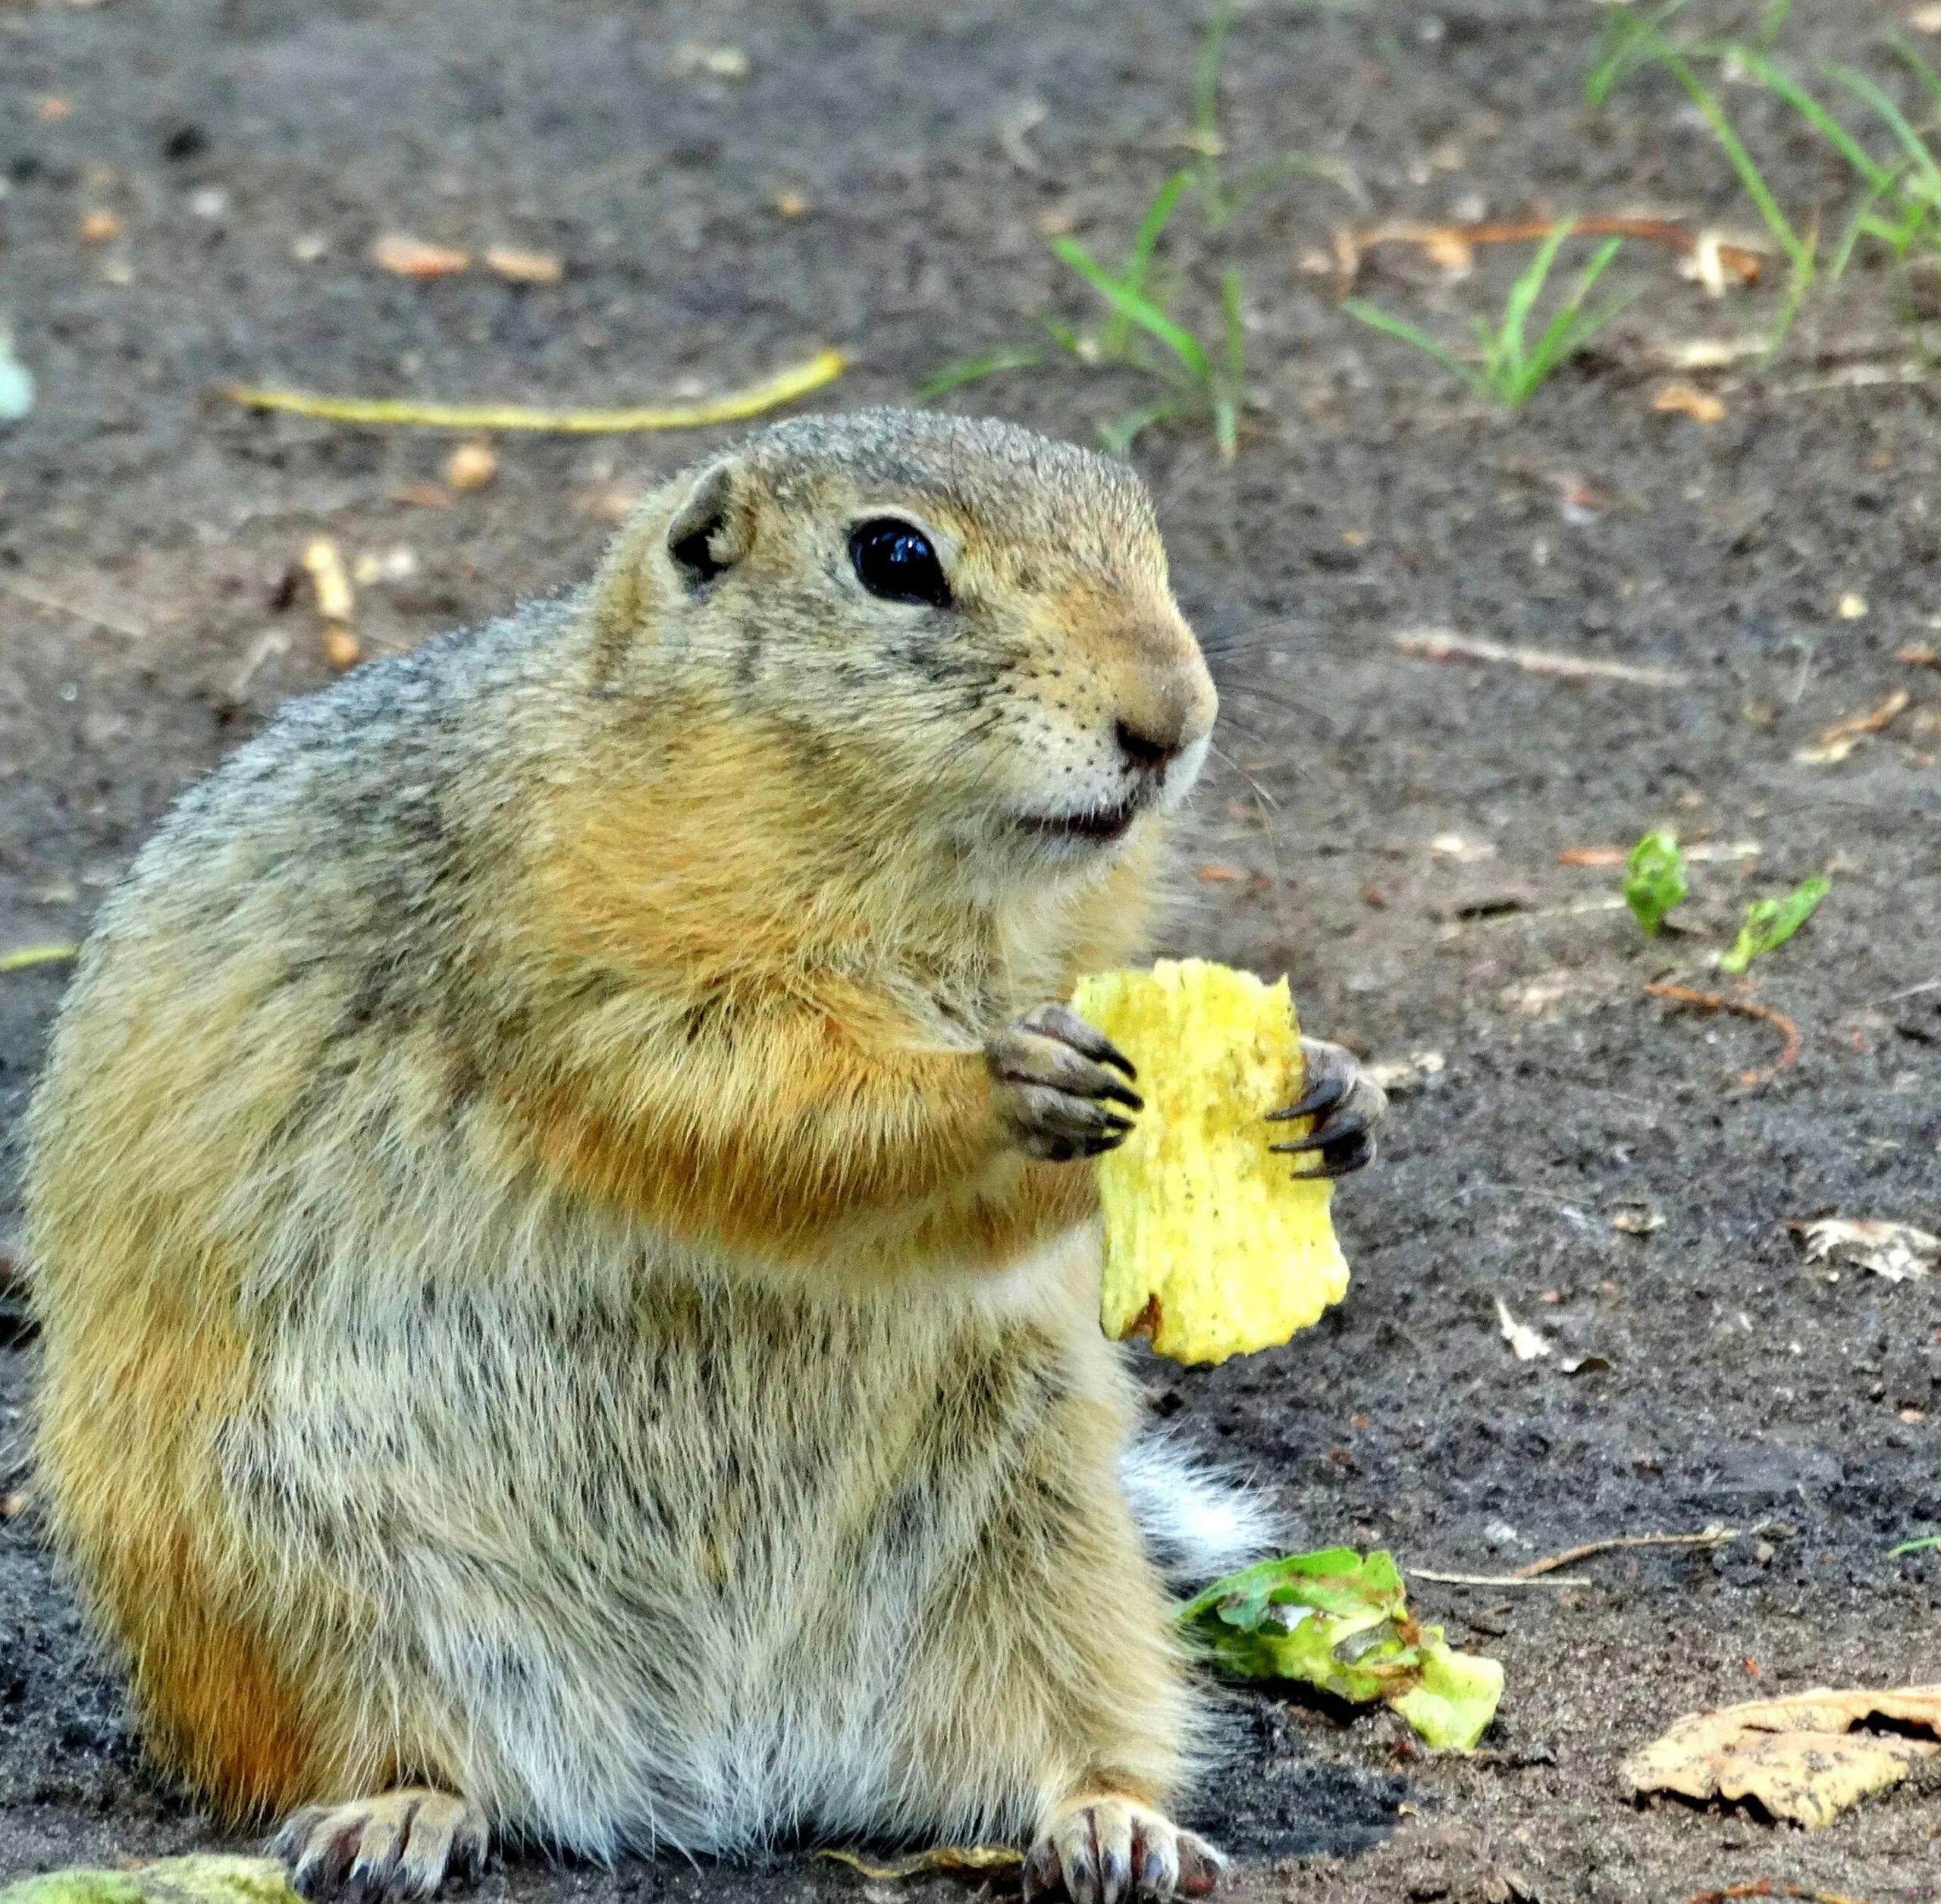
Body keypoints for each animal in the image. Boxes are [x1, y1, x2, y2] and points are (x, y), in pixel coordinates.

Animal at [18, 409, 1381, 1894]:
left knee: (1061, 1728)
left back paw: (1111, 1819)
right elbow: (742, 1107)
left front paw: (1333, 1087)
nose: (1173, 720)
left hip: (1055, 1552)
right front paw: (1000, 1081)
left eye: (1143, 523)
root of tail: (718, 1771)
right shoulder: (584, 953)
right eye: (895, 558)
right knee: (390, 1735)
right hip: (291, 1574)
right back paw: (398, 1811)